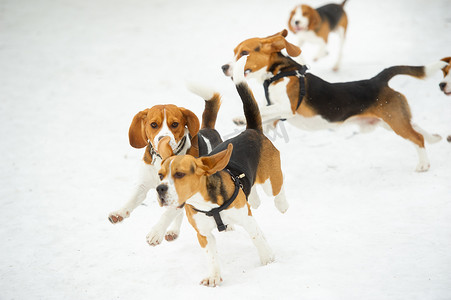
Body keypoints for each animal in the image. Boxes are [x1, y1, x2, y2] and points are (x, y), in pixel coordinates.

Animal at [221, 30, 446, 172]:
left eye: (244, 53)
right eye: (234, 52)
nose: (223, 67)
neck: (279, 73)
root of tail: (378, 80)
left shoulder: (286, 108)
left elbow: (262, 109)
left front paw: (240, 118)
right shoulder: (275, 114)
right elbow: (264, 114)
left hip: (395, 121)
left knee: (417, 137)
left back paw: (423, 164)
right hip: (392, 121)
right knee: (417, 129)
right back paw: (434, 138)